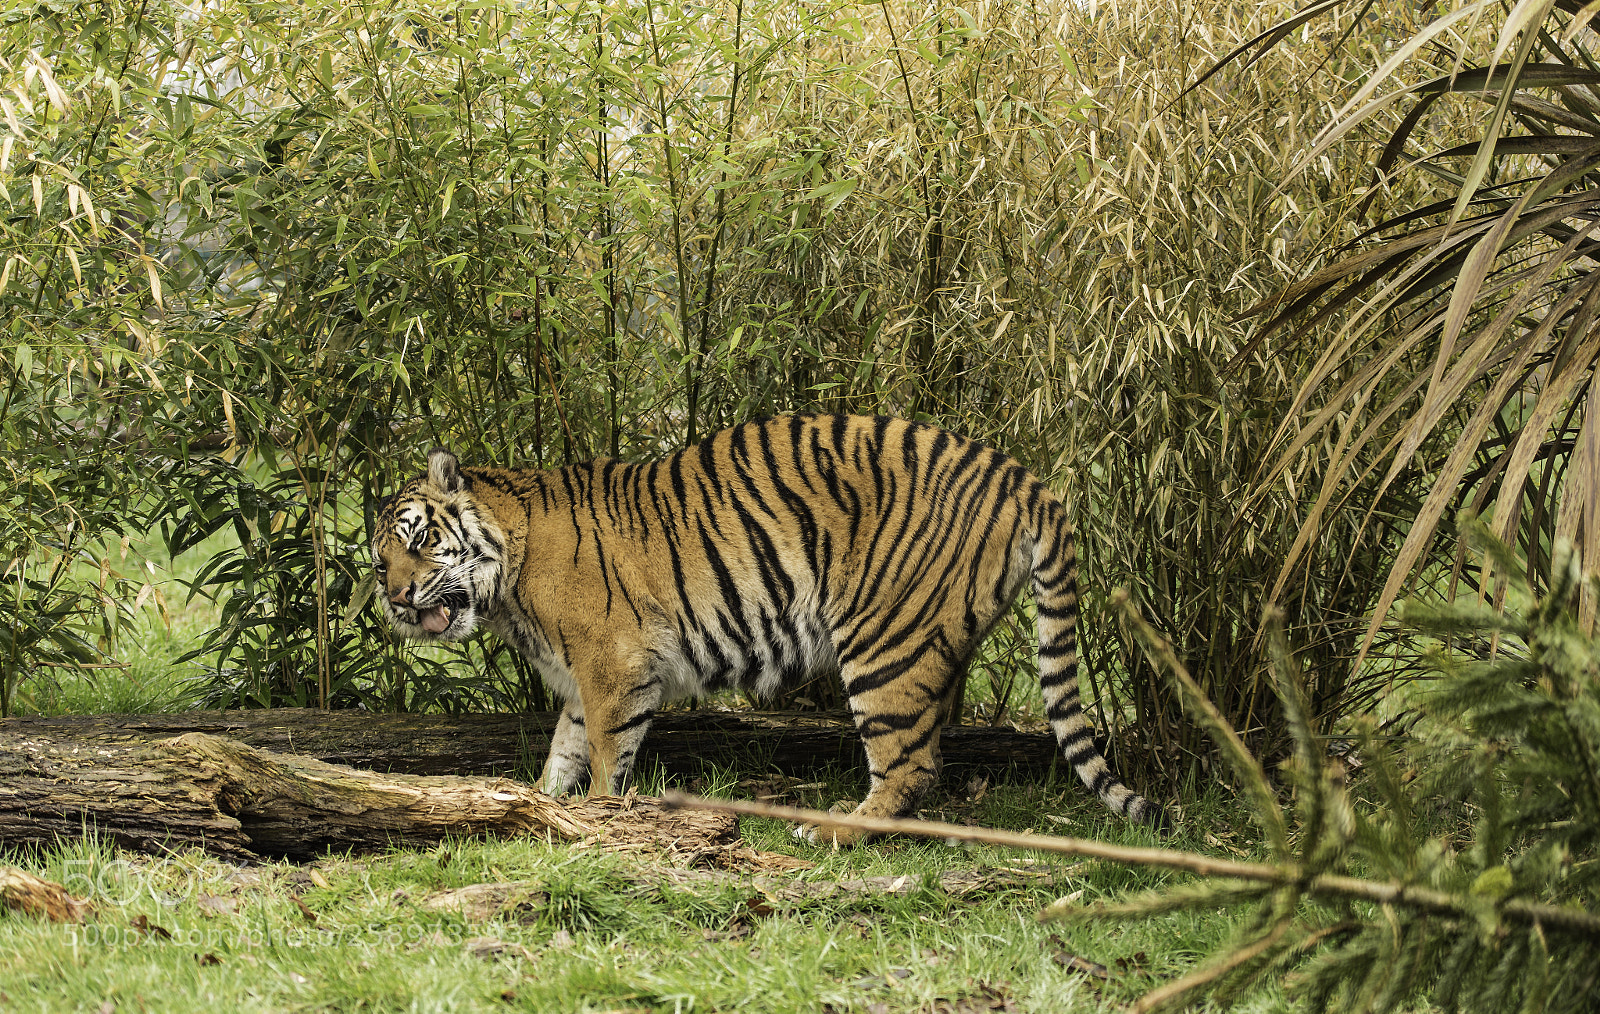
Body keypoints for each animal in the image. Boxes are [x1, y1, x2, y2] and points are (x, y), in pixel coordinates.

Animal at [373, 414, 1163, 843]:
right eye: (379, 558)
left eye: (418, 540)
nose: (395, 598)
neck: (506, 581)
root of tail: (1024, 478)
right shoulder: (579, 679)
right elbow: (562, 751)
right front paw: (538, 802)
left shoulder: (613, 667)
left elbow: (603, 755)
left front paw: (597, 818)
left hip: (882, 638)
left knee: (909, 765)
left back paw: (834, 827)